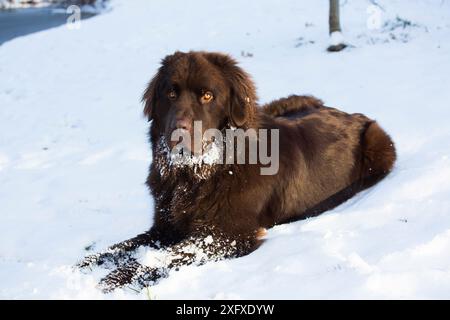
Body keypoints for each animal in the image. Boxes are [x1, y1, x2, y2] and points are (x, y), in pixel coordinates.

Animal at [79, 50, 396, 292]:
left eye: (207, 96)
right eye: (170, 93)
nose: (178, 131)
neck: (198, 175)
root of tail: (349, 112)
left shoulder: (226, 235)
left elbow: (158, 258)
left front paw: (111, 280)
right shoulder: (164, 226)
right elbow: (121, 247)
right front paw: (81, 268)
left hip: (380, 143)